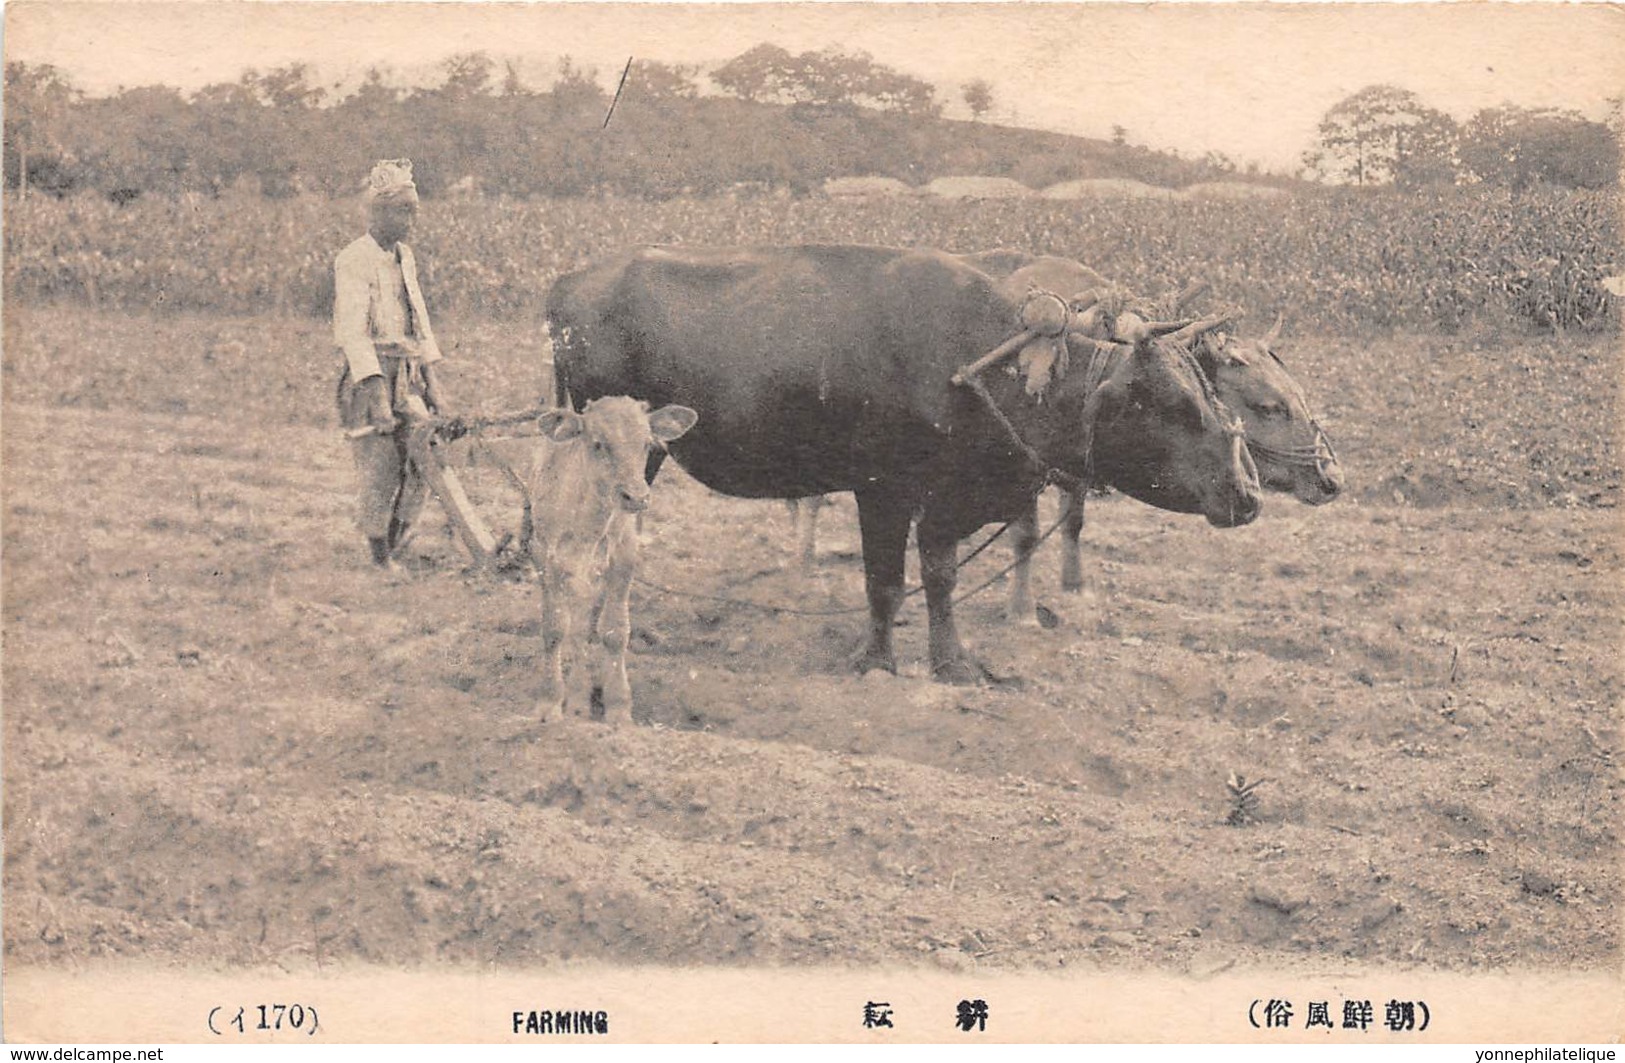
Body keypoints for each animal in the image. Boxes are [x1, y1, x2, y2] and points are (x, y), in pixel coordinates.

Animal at [523, 398, 695, 724]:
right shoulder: (545, 555)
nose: (636, 497)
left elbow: (614, 631)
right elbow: (555, 629)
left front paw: (618, 707)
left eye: (646, 443)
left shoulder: (624, 558)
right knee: (576, 627)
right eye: (598, 443)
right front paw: (551, 703)